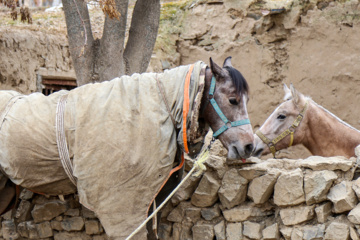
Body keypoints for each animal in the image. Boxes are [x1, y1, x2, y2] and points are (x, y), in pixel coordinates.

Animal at [0, 57, 255, 239]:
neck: (162, 106)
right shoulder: (124, 208)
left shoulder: (150, 201)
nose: (249, 146)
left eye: (246, 100)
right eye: (233, 99)